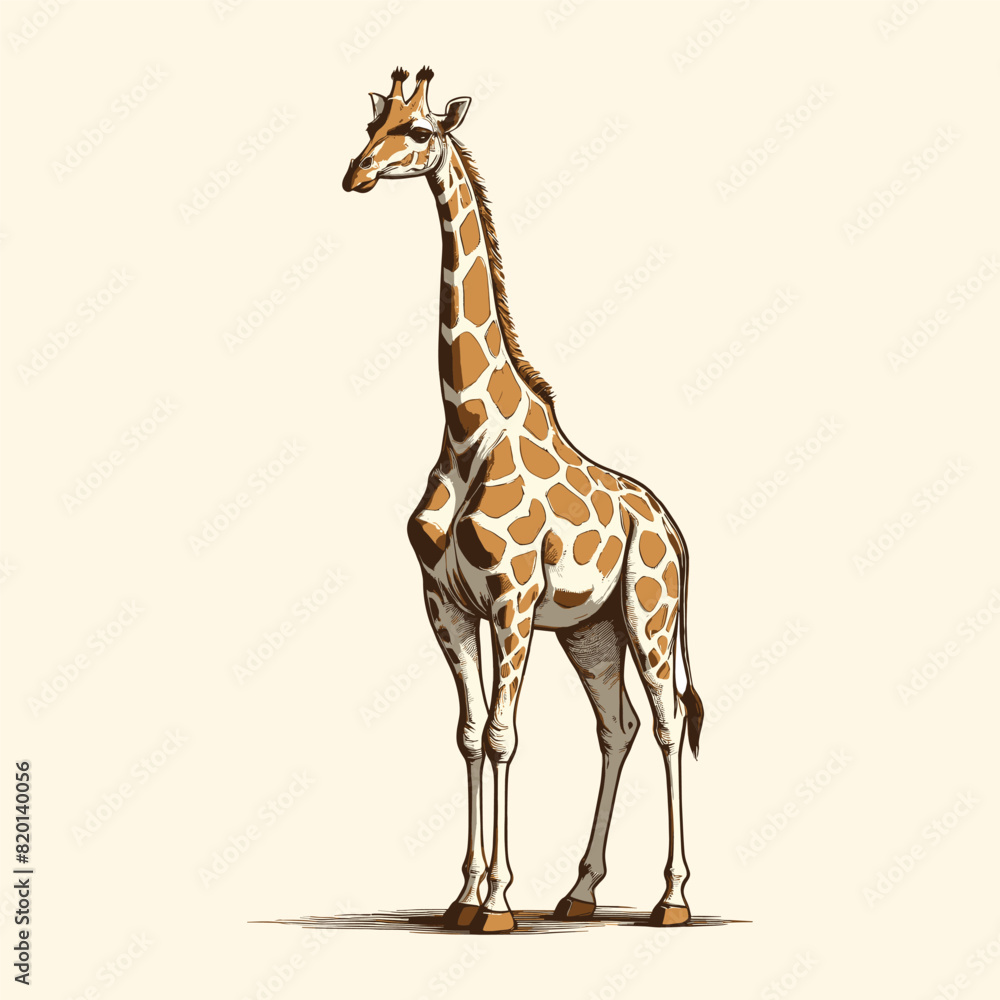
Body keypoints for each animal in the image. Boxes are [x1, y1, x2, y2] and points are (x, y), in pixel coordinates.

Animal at [343, 67, 705, 934]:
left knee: (669, 722)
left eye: (417, 132)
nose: (355, 174)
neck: (469, 425)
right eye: (372, 124)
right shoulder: (444, 602)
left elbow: (506, 735)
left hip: (649, 613)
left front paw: (499, 902)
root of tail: (676, 531)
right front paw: (462, 896)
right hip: (591, 631)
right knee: (618, 725)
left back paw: (672, 898)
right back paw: (580, 892)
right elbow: (471, 734)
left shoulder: (511, 599)